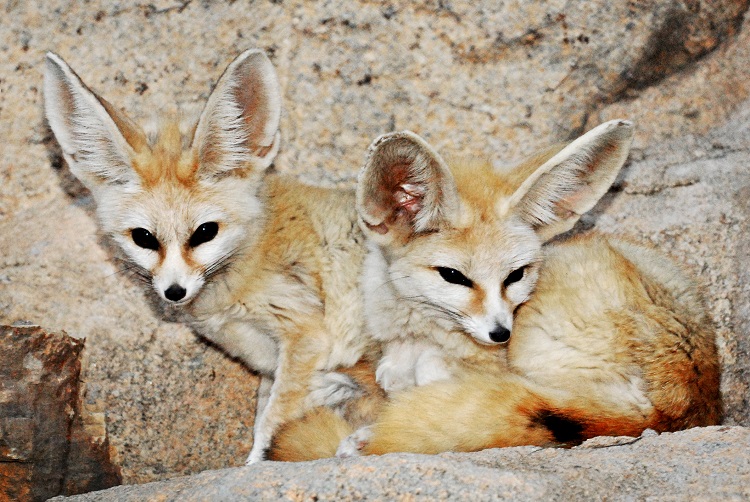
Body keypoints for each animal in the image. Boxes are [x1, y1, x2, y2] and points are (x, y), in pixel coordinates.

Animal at [42, 49, 372, 464]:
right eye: (143, 238)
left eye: (204, 233)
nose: (174, 292)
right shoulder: (270, 367)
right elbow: (264, 416)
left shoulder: (306, 336)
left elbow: (272, 422)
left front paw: (254, 466)